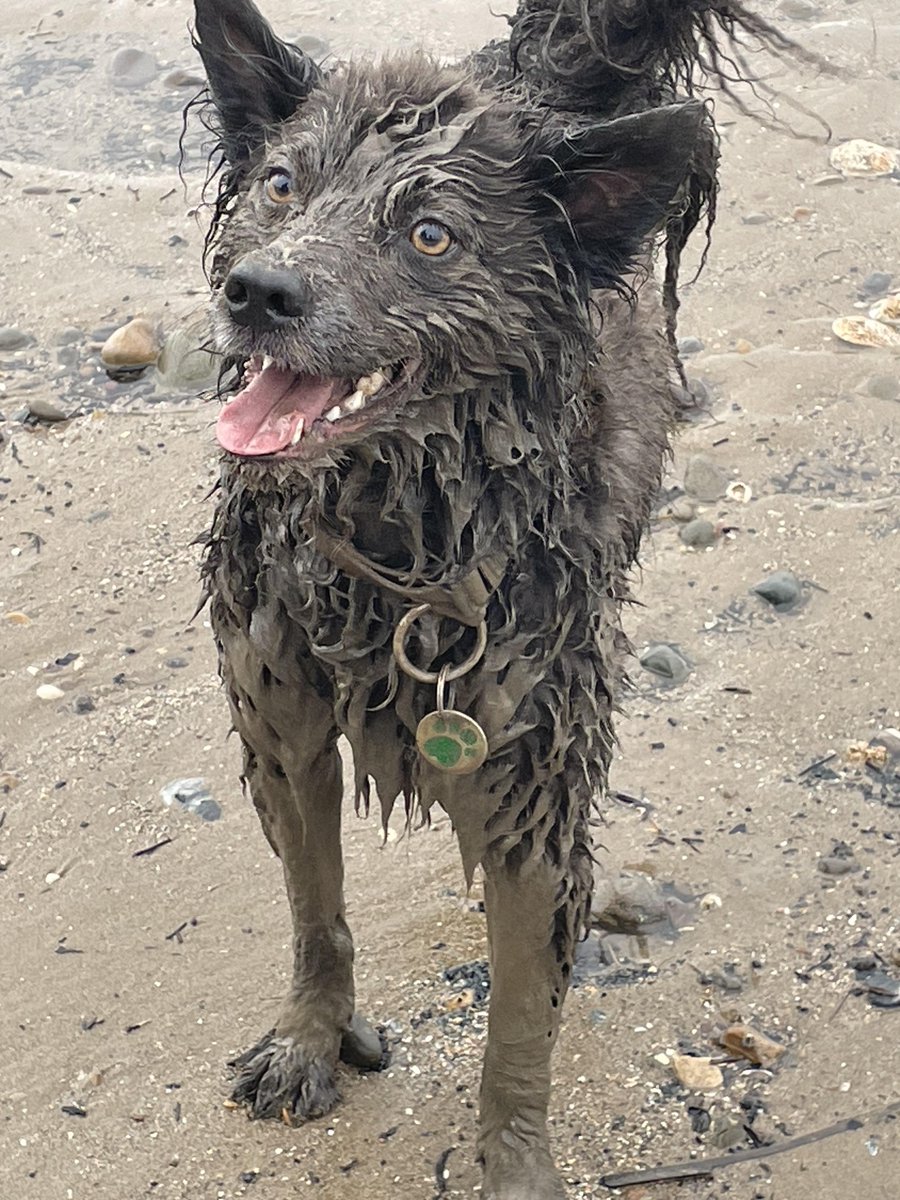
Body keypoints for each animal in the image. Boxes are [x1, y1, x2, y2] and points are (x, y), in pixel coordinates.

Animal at [194, 0, 806, 1195]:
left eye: (431, 235)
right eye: (281, 184)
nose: (259, 293)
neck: (394, 542)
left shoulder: (533, 787)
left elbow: (520, 1030)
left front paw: (516, 1163)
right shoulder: (282, 721)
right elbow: (316, 914)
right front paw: (308, 1038)